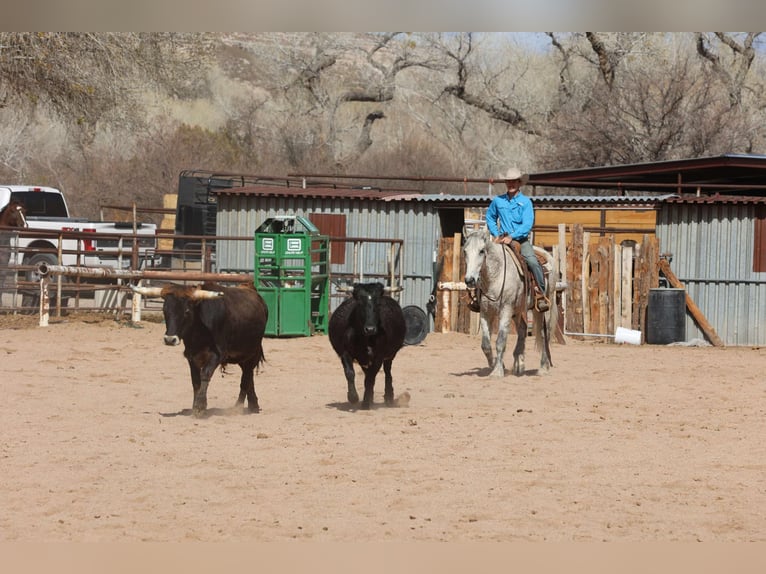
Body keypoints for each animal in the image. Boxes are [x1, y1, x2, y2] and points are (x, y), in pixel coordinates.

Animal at [462, 227, 557, 378]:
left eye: (482, 251)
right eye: (465, 251)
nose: (470, 280)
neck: (496, 276)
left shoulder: (505, 310)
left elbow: (500, 341)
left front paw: (497, 371)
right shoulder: (485, 312)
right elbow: (485, 345)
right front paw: (497, 365)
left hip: (544, 307)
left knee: (544, 333)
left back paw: (543, 367)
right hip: (518, 310)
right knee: (523, 330)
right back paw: (519, 364)